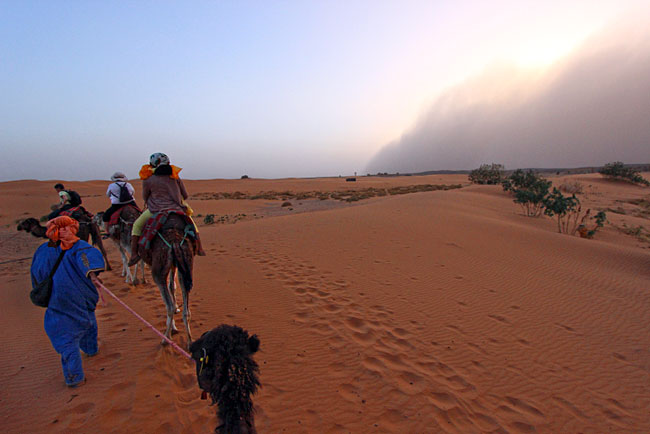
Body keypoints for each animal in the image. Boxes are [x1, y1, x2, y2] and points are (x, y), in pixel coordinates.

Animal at [137, 214, 194, 350]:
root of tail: (175, 241)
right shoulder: (174, 266)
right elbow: (172, 286)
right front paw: (177, 309)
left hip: (158, 273)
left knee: (168, 306)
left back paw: (165, 339)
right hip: (185, 266)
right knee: (186, 310)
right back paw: (189, 341)